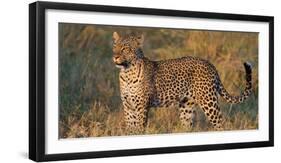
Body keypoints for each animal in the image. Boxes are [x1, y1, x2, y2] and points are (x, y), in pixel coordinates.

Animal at [111, 32, 252, 135]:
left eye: (125, 49)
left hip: (208, 101)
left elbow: (140, 128)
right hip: (187, 107)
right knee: (188, 127)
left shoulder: (141, 106)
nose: (115, 57)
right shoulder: (128, 107)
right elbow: (130, 129)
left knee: (221, 124)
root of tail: (210, 64)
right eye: (115, 47)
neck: (127, 73)